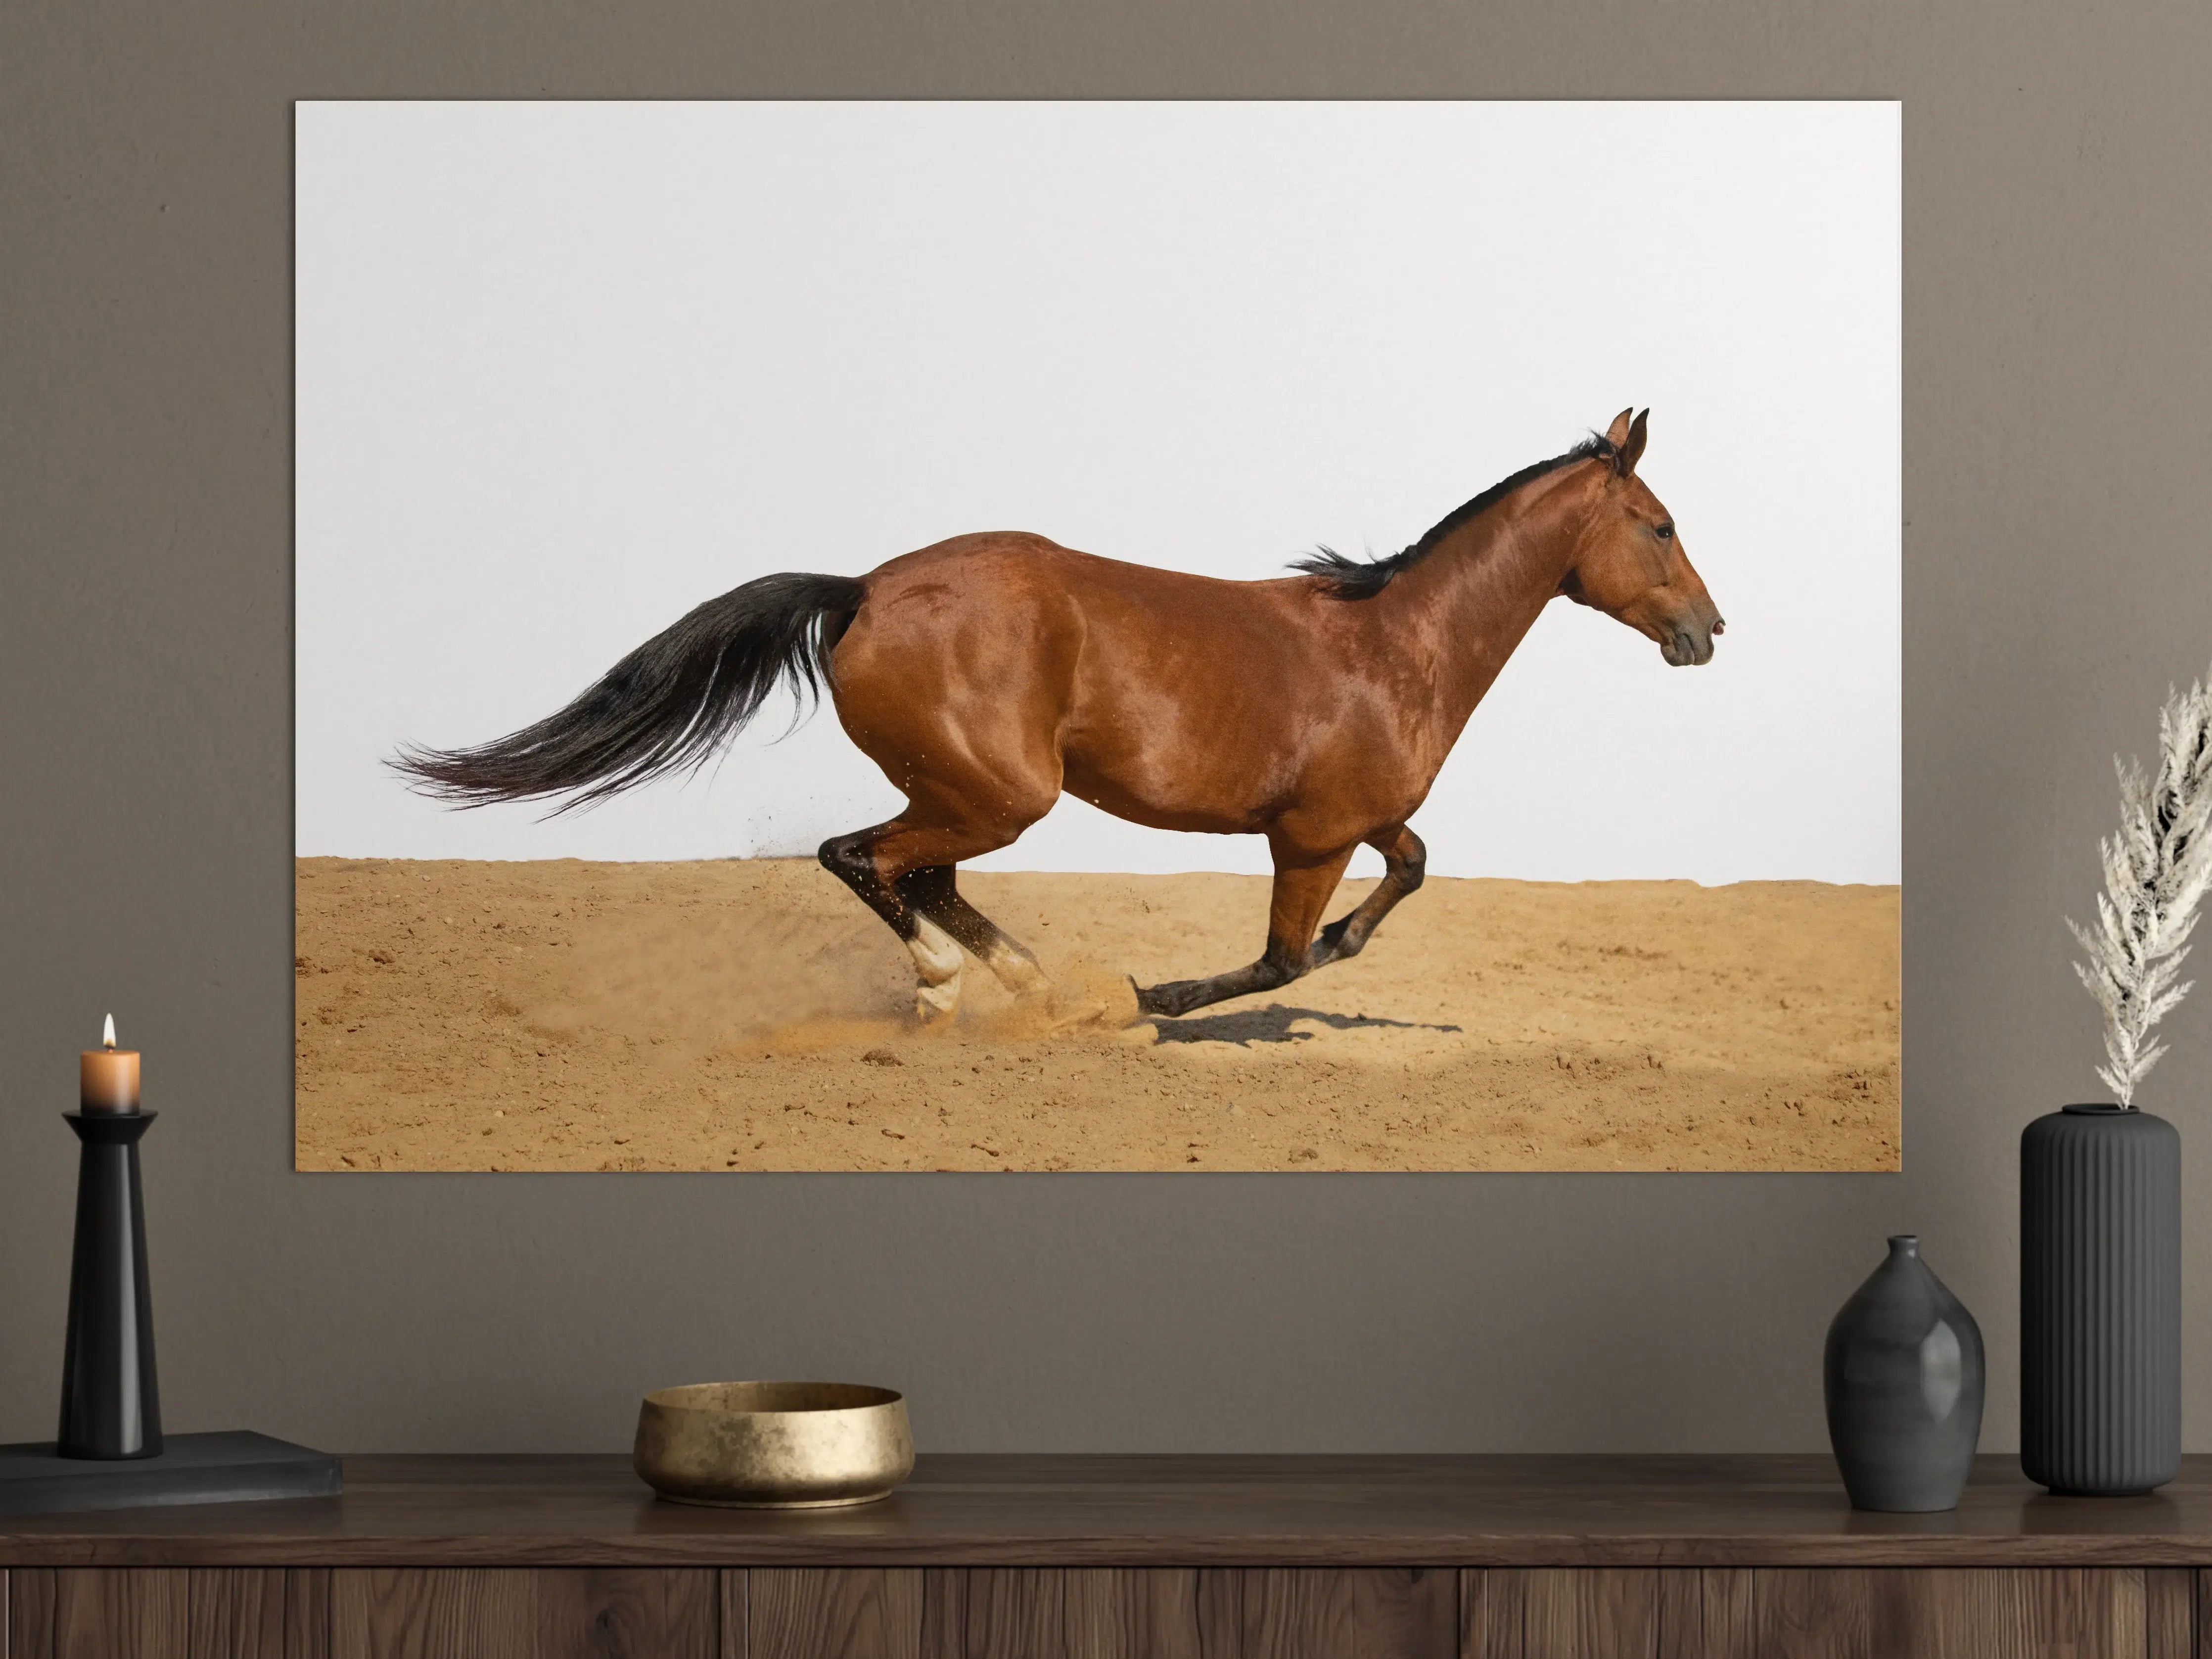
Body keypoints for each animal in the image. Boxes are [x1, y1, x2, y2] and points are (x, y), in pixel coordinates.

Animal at [396, 408, 1722, 1024]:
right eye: (1658, 525)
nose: (1707, 632)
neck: (1395, 645)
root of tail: (863, 588)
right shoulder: (1307, 835)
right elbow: (1280, 958)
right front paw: (1157, 1001)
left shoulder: (1358, 820)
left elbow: (1404, 876)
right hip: (996, 795)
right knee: (864, 858)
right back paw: (963, 988)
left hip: (961, 792)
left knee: (913, 872)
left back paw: (1025, 985)